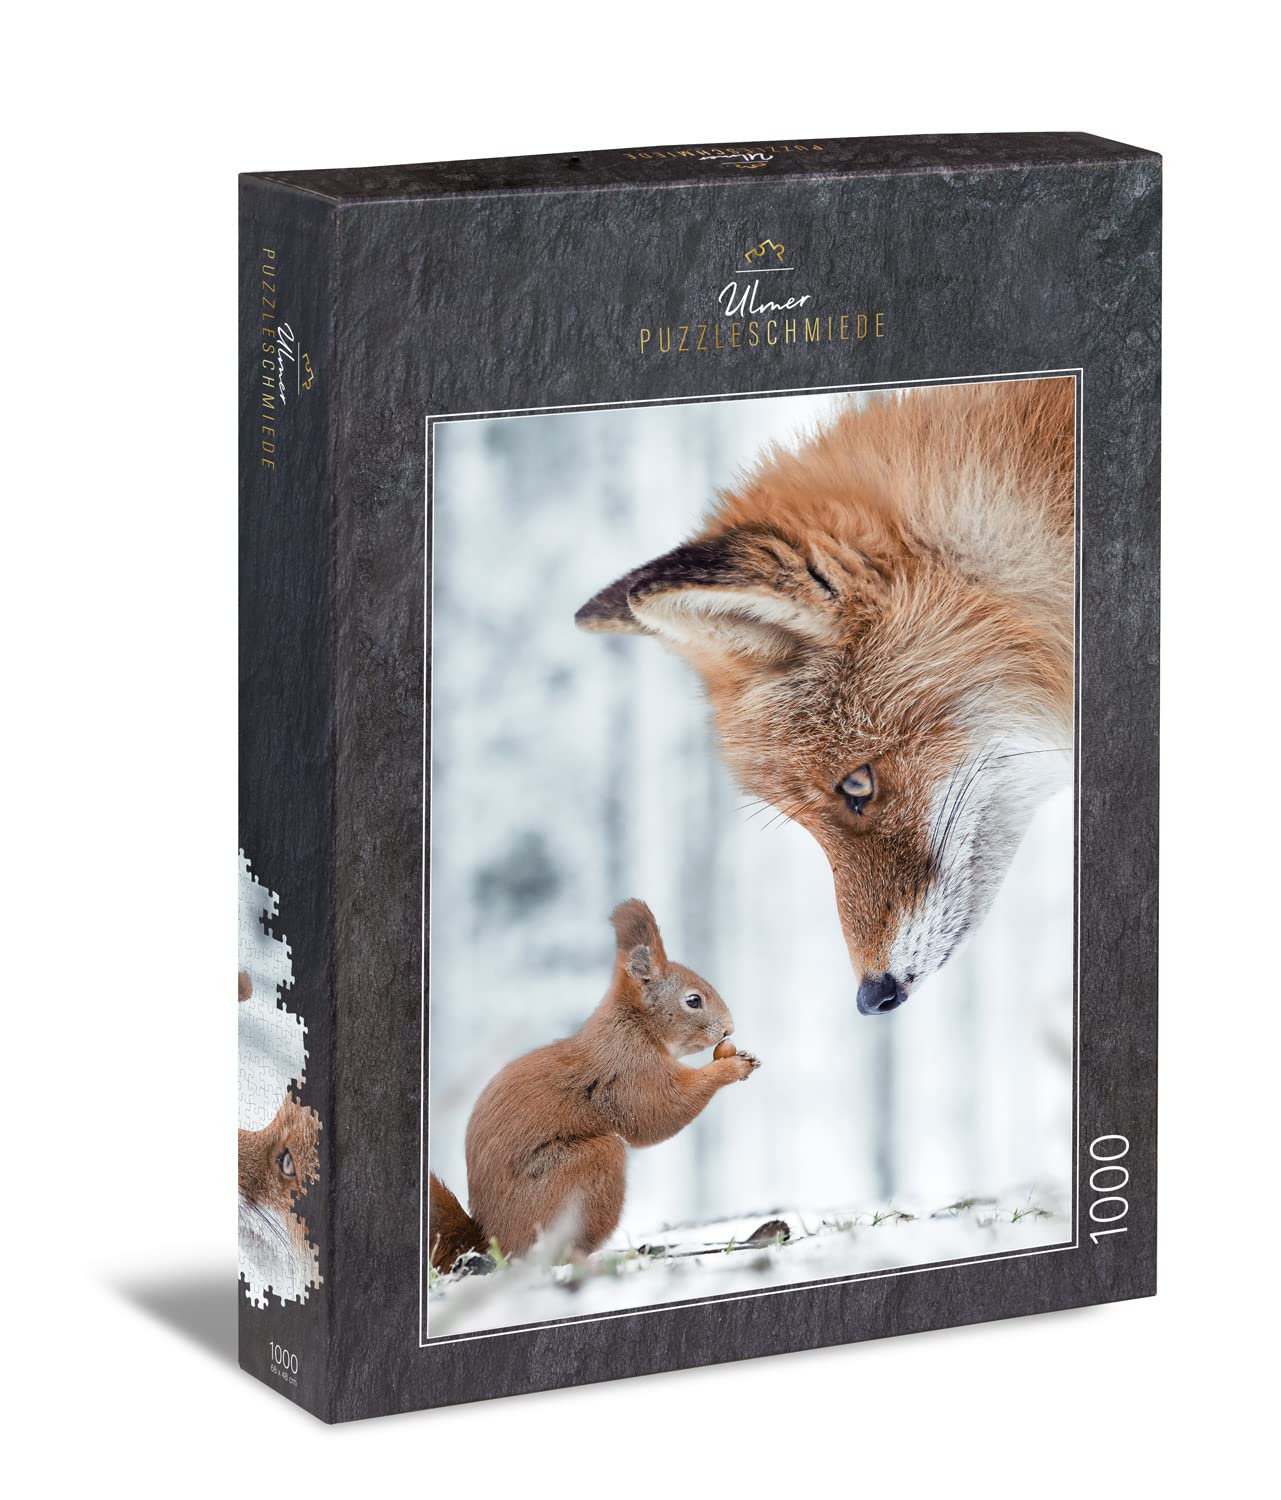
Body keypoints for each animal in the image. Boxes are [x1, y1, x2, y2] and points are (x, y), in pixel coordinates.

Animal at [429, 898, 759, 1271]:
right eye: (693, 1000)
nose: (729, 1029)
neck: (634, 1024)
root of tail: (496, 1243)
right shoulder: (629, 1069)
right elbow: (659, 1112)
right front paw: (729, 1068)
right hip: (586, 1168)